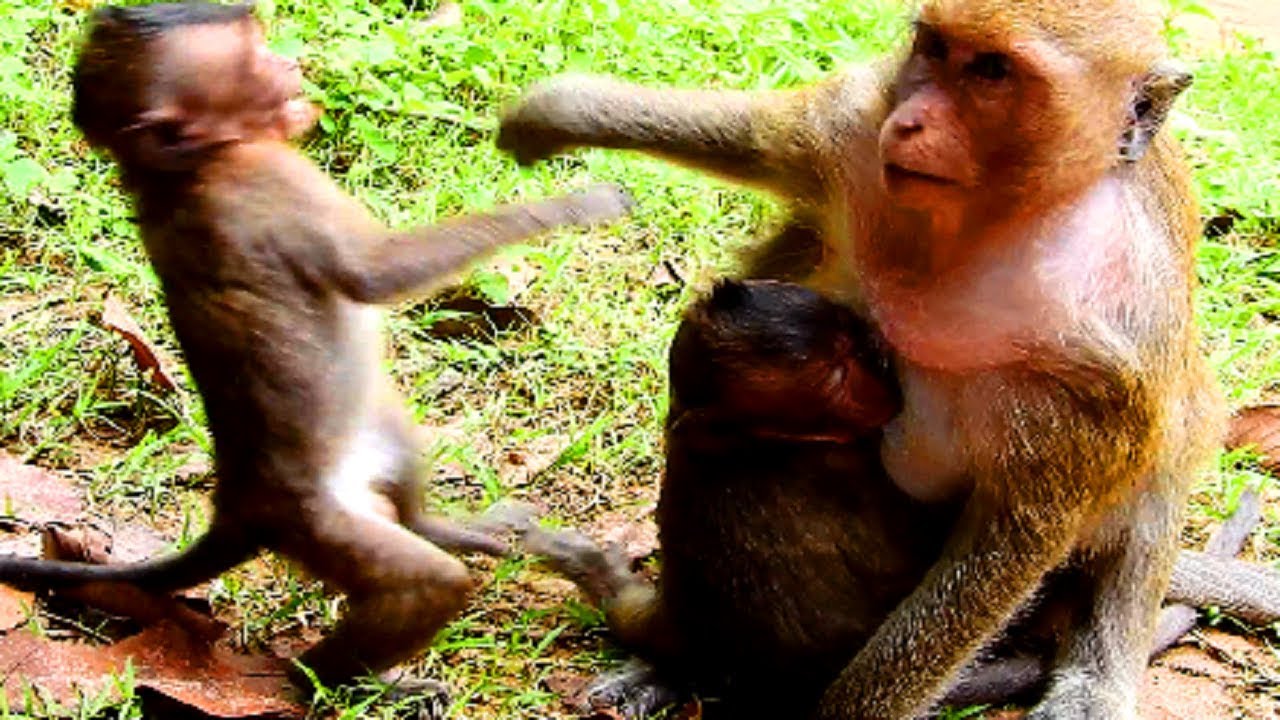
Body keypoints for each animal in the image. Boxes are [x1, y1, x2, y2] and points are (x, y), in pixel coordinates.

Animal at [0, 2, 632, 701]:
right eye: (253, 62)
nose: (290, 66)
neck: (180, 172)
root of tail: (236, 503)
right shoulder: (270, 178)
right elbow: (374, 273)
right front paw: (576, 203)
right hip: (313, 522)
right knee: (424, 582)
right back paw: (332, 681)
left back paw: (460, 532)